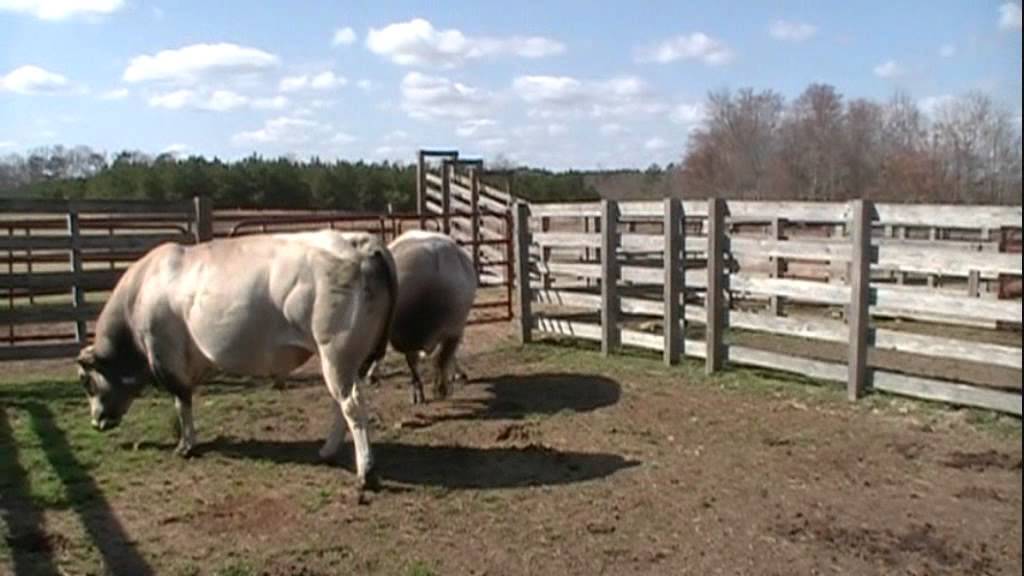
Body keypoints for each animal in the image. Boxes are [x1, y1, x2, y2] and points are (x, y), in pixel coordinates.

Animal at [75, 230, 397, 490]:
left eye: (86, 382)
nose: (95, 422)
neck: (141, 290)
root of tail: (357, 242)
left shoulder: (165, 357)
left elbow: (181, 402)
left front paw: (186, 446)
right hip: (346, 361)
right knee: (341, 405)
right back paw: (328, 451)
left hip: (335, 354)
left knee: (352, 406)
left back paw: (365, 472)